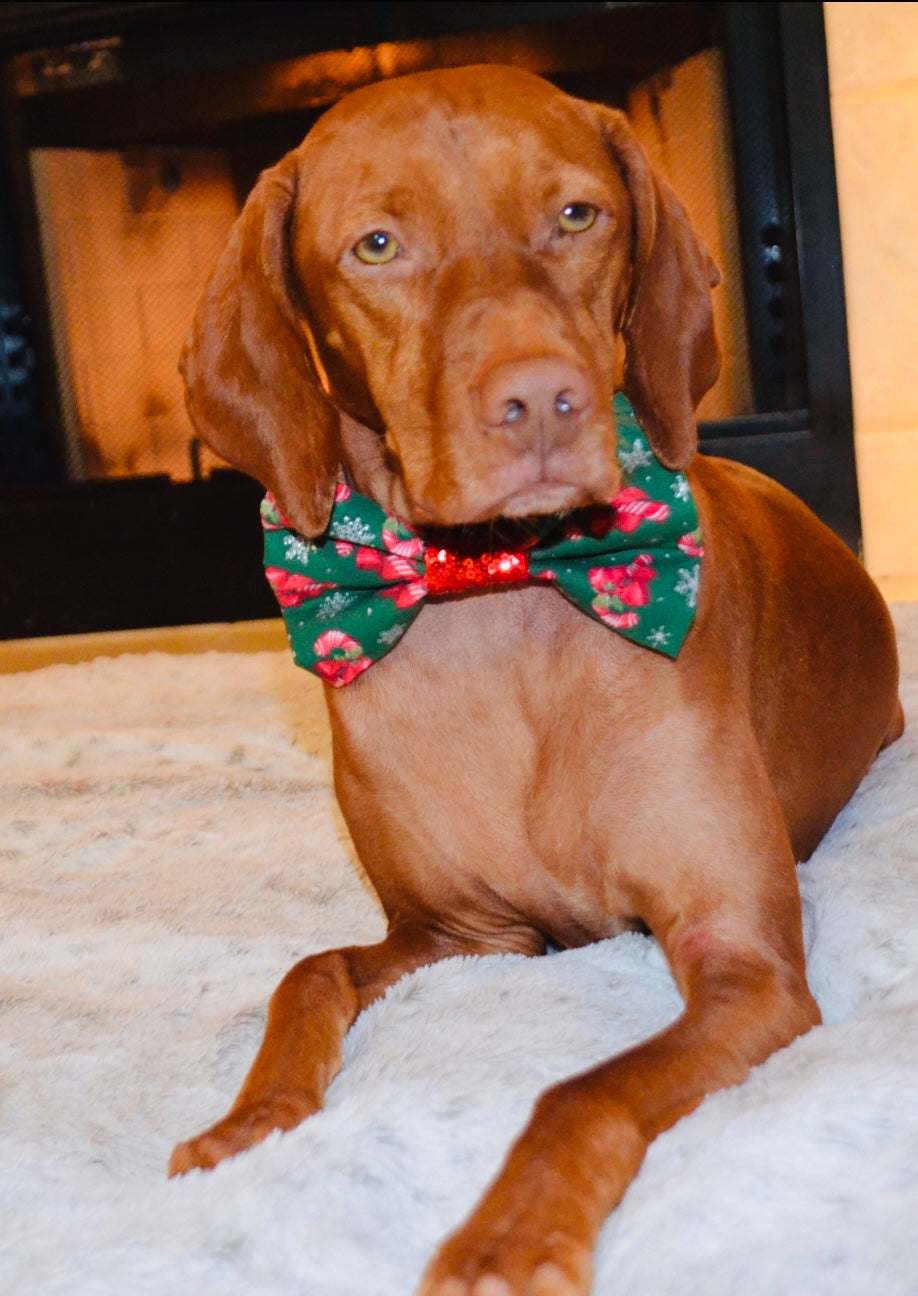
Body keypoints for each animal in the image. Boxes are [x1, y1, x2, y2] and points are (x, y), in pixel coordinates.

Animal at [168, 68, 902, 1296]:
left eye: (576, 215)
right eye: (377, 244)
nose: (544, 400)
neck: (501, 592)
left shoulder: (742, 960)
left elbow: (581, 1090)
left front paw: (507, 1238)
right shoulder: (458, 936)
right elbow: (308, 972)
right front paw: (249, 1124)